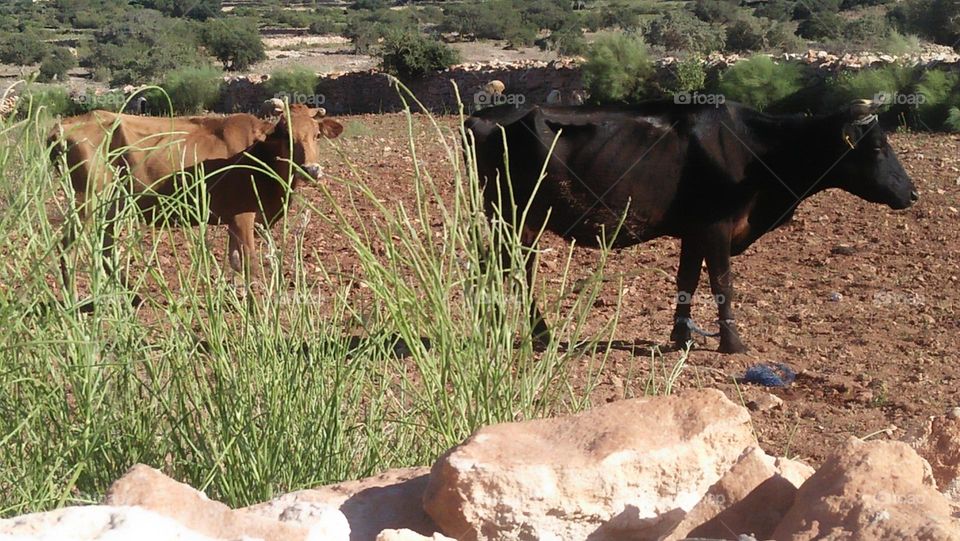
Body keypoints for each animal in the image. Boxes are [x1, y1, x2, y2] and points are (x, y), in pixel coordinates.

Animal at [51, 103, 344, 302]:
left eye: (317, 135)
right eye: (286, 135)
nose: (311, 169)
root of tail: (63, 127)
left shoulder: (233, 220)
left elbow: (234, 260)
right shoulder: (243, 216)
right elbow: (248, 262)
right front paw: (254, 303)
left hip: (112, 208)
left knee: (106, 249)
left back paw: (123, 296)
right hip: (87, 202)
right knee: (69, 246)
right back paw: (74, 298)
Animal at [468, 98, 920, 352]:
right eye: (877, 147)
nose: (913, 193)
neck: (756, 152)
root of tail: (483, 117)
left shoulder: (694, 230)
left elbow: (687, 280)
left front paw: (681, 337)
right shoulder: (717, 227)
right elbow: (723, 283)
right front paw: (733, 345)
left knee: (503, 268)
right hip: (516, 216)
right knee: (511, 269)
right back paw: (529, 333)